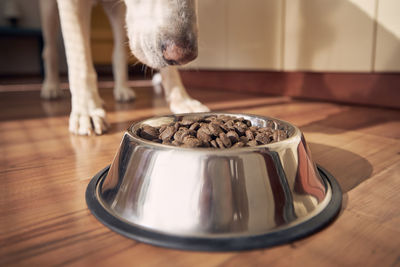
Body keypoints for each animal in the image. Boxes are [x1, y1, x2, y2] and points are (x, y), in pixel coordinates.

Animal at [39, 0, 209, 136]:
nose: (185, 56)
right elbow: (80, 60)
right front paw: (87, 110)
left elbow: (168, 68)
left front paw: (182, 100)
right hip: (48, 10)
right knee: (50, 50)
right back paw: (51, 87)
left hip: (119, 13)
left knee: (119, 53)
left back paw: (122, 89)